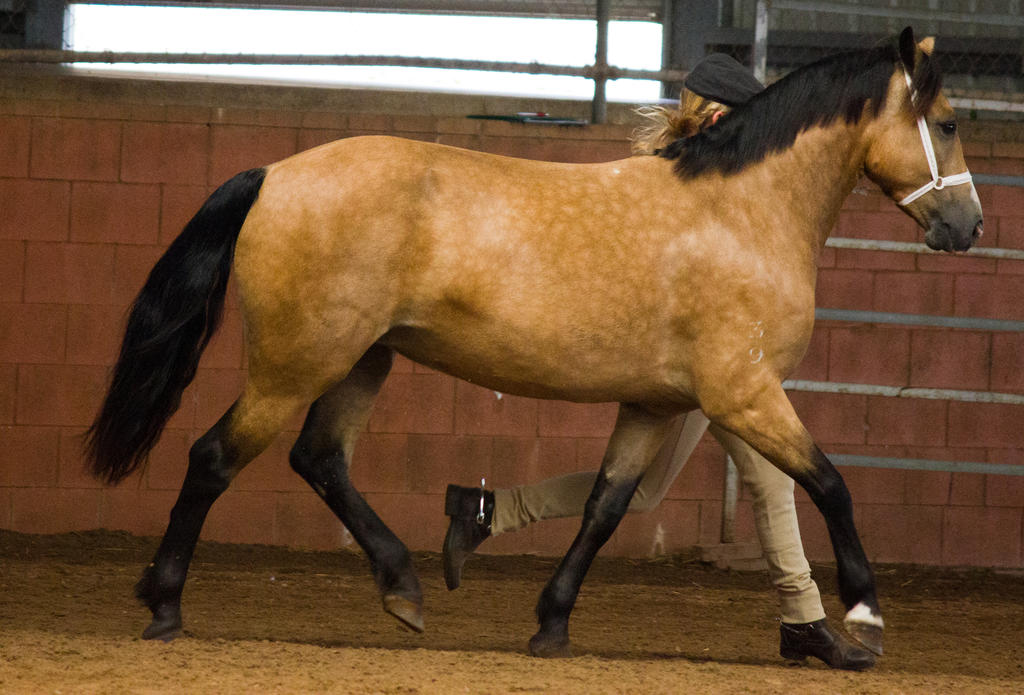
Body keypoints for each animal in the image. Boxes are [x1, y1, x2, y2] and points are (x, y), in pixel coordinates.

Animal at [83, 27, 978, 659]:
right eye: (946, 121)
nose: (966, 227)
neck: (741, 212)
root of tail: (272, 174)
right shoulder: (746, 394)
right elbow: (830, 484)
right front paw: (862, 618)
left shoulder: (657, 404)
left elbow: (605, 507)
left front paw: (551, 624)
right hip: (294, 365)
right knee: (213, 458)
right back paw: (165, 604)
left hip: (362, 358)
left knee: (320, 458)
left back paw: (407, 584)